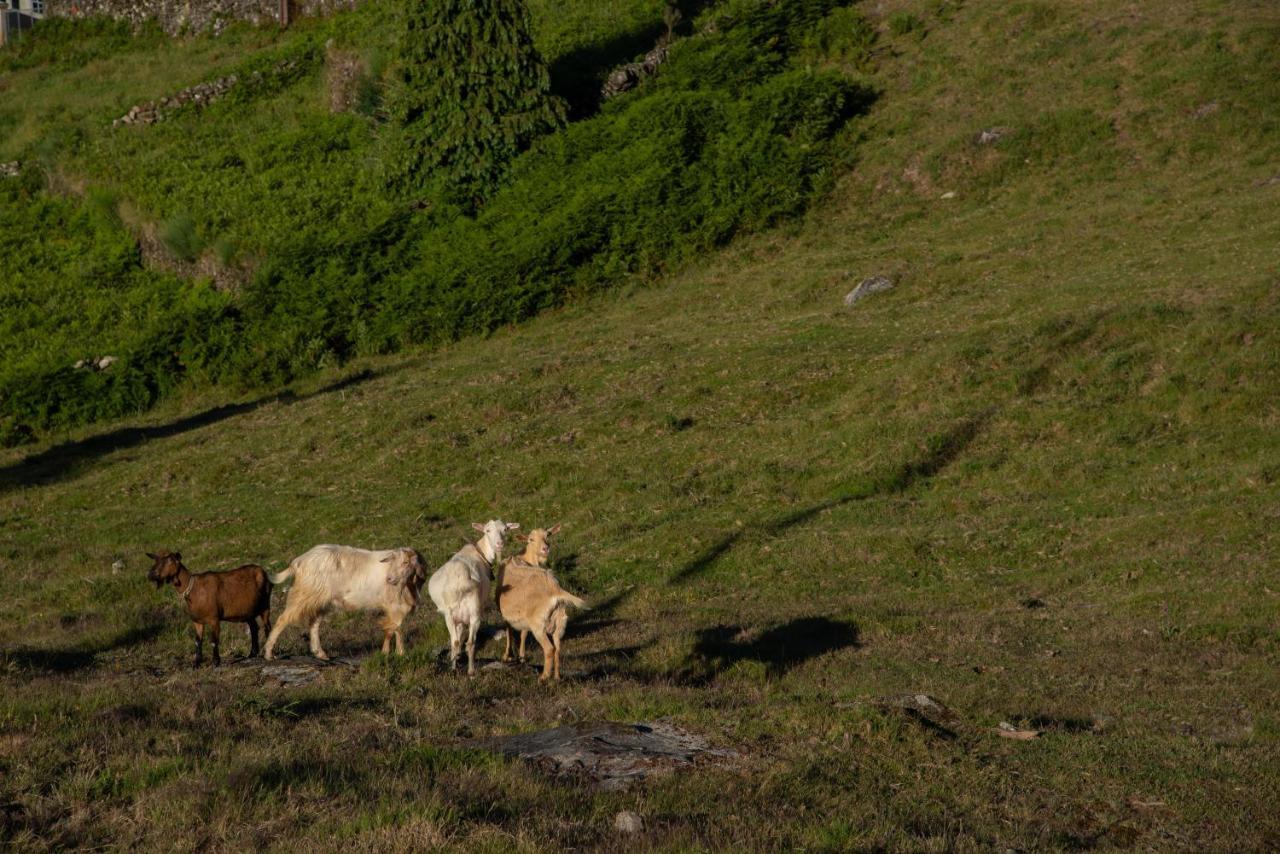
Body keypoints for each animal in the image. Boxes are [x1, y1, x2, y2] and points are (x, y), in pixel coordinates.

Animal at [262, 547, 427, 660]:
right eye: (392, 563)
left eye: (406, 562)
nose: (390, 579)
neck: (409, 586)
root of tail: (299, 562)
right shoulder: (394, 606)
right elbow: (394, 629)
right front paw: (393, 653)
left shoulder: (397, 608)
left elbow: (395, 629)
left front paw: (397, 653)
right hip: (304, 595)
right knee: (283, 619)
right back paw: (269, 653)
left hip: (321, 601)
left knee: (314, 623)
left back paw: (320, 654)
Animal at [424, 522, 514, 676]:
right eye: (487, 530)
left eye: (505, 529)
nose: (499, 544)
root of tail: (462, 578)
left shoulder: (458, 619)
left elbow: (458, 639)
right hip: (474, 613)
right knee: (470, 643)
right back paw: (471, 671)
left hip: (452, 615)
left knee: (457, 642)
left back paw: (456, 669)